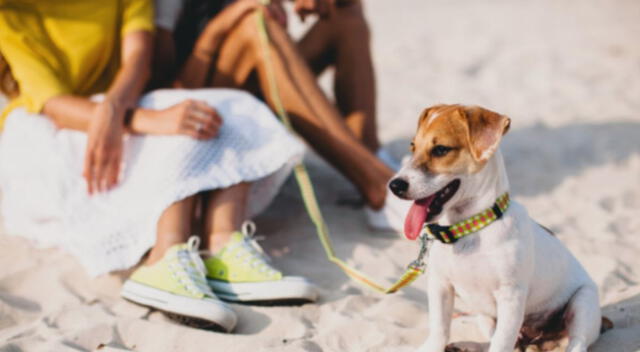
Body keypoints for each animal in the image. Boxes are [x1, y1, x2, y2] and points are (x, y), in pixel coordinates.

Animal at [390, 105, 604, 352]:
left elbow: (501, 342)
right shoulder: (440, 285)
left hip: (583, 303)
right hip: (484, 317)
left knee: (576, 341)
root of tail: (537, 338)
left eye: (441, 150)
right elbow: (439, 329)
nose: (394, 185)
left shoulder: (510, 296)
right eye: (413, 146)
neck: (470, 229)